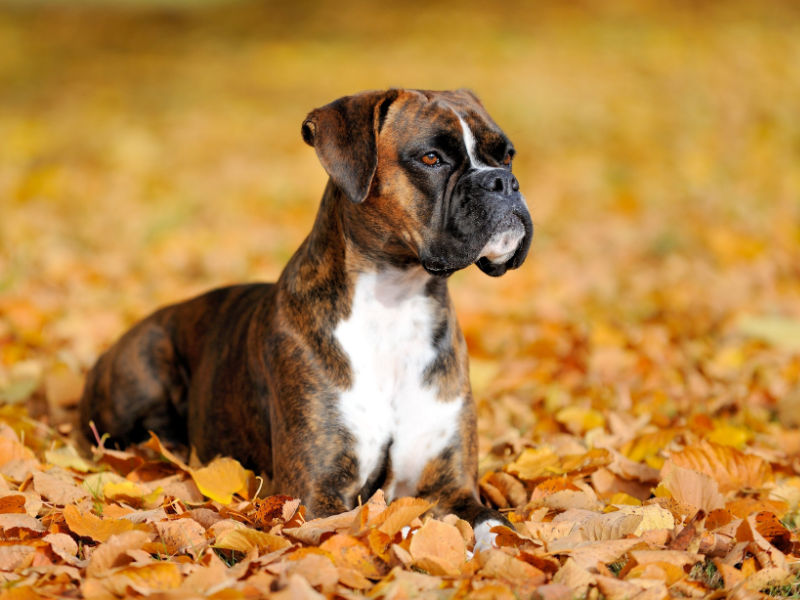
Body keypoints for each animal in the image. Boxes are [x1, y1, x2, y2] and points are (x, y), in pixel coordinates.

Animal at [79, 90, 532, 548]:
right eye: (431, 158)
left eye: (507, 156)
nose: (502, 182)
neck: (396, 302)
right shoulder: (314, 495)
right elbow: (377, 527)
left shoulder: (453, 489)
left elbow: (497, 529)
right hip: (146, 365)